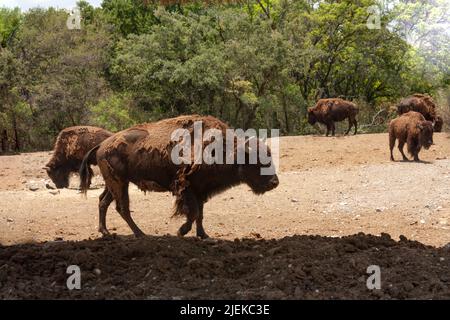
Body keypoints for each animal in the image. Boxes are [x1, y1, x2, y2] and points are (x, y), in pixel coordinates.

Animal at [79, 114, 280, 238]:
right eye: (257, 162)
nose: (274, 182)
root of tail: (102, 145)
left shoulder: (200, 191)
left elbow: (200, 214)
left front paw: (203, 235)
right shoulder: (187, 188)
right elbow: (193, 213)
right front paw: (181, 231)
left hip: (115, 183)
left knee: (103, 202)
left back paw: (106, 232)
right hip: (119, 183)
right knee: (122, 207)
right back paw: (140, 233)